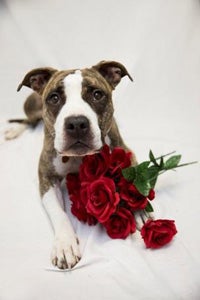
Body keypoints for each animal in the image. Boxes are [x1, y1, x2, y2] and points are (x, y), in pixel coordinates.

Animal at [5, 61, 150, 270]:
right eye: (54, 98)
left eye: (97, 94)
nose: (76, 123)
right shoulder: (46, 177)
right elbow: (59, 213)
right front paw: (65, 245)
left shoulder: (125, 152)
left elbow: (133, 182)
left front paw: (139, 210)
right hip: (31, 107)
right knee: (29, 121)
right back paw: (13, 130)